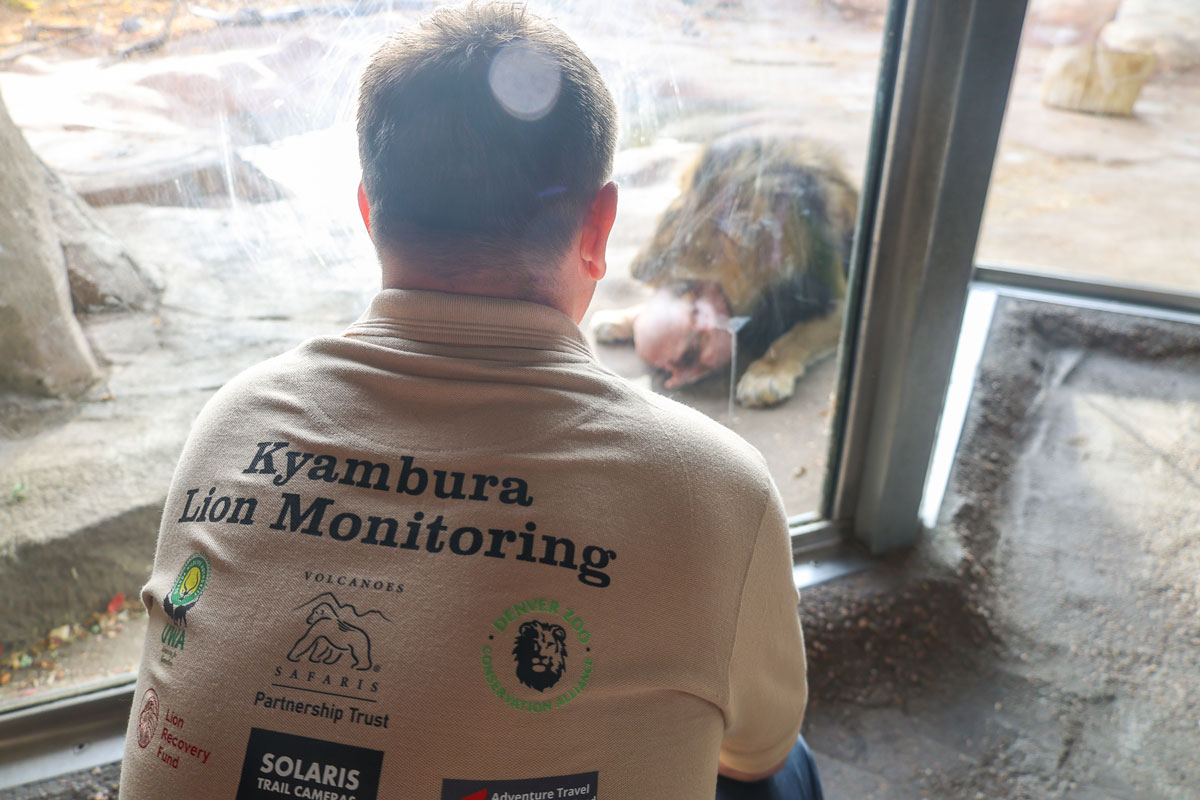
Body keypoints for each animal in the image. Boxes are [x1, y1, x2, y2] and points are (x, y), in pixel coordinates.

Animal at [591, 131, 858, 407]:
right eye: (667, 220)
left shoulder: (839, 303)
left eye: (673, 253)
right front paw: (616, 318)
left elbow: (795, 336)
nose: (635, 272)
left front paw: (765, 376)